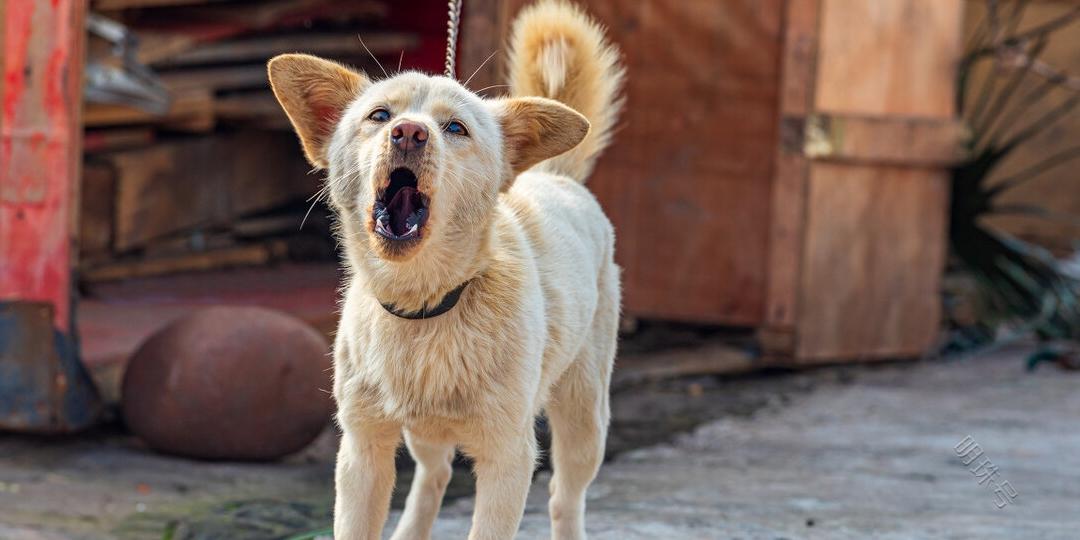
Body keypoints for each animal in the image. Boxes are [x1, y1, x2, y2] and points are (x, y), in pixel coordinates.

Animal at [267, 2, 626, 537]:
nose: (409, 133)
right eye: (380, 115)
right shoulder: (362, 452)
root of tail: (553, 175)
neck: (423, 308)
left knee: (565, 497)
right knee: (433, 475)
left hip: (584, 417)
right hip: (425, 434)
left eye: (455, 128)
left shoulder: (508, 458)